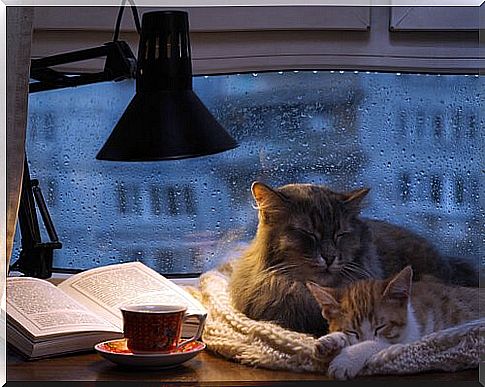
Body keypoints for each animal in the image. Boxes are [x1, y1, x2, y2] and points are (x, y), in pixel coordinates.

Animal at [306, 268, 480, 380]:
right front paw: (331, 341)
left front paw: (346, 359)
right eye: (352, 331)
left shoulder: (413, 339)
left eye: (380, 327)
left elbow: (377, 344)